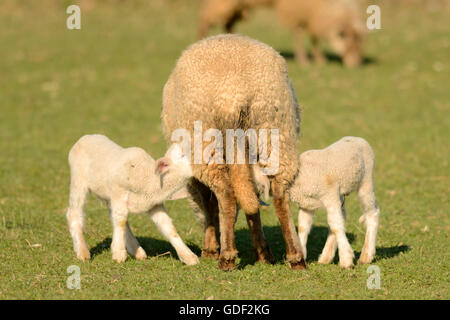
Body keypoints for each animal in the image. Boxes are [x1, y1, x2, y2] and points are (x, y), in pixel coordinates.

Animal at [66, 134, 199, 264]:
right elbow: (121, 220)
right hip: (79, 180)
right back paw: (82, 251)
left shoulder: (154, 204)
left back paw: (136, 250)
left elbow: (168, 227)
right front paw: (119, 253)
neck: (148, 176)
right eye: (183, 154)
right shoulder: (119, 192)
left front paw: (188, 256)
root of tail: (87, 136)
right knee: (74, 213)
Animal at [160, 34, 304, 270]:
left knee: (226, 193)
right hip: (276, 132)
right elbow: (252, 199)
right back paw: (296, 257)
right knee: (279, 193)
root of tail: (234, 96)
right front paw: (263, 252)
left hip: (206, 144)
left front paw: (210, 247)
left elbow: (209, 201)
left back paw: (226, 257)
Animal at [253, 136, 380, 268]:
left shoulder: (330, 196)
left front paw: (346, 260)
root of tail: (357, 138)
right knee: (343, 215)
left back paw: (366, 256)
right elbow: (303, 227)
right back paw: (326, 257)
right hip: (340, 195)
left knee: (372, 212)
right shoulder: (306, 204)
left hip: (366, 181)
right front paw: (301, 256)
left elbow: (336, 226)